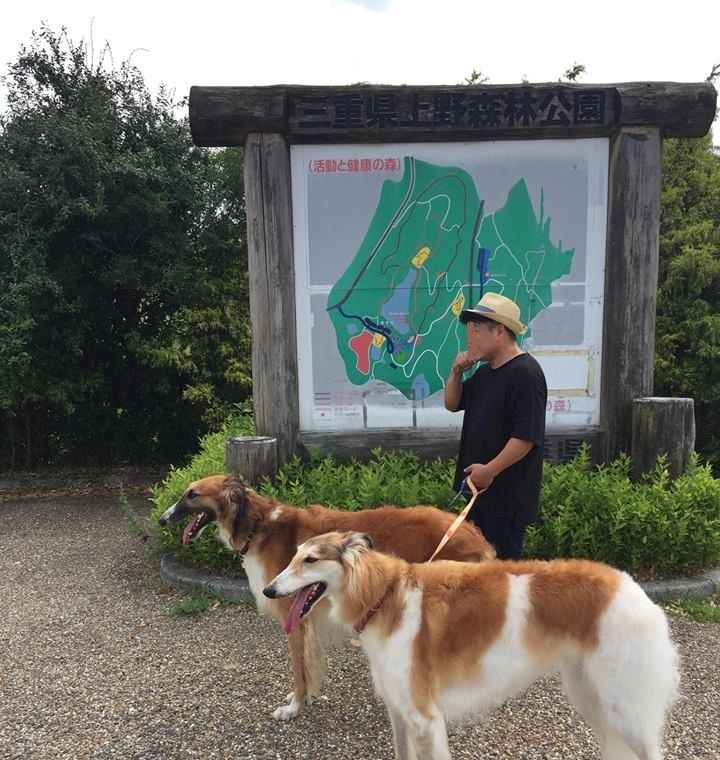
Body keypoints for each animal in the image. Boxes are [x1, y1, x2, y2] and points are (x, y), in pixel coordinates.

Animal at [157, 474, 495, 719]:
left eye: (192, 494)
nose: (162, 519)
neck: (259, 526)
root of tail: (475, 534)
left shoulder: (293, 617)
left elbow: (299, 670)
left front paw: (294, 707)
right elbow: (308, 666)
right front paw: (300, 698)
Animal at [264, 531, 679, 760]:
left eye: (310, 559)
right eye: (293, 556)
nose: (268, 590)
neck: (385, 596)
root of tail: (633, 589)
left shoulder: (424, 717)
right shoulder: (400, 710)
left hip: (625, 711)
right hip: (593, 698)